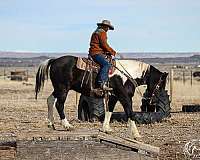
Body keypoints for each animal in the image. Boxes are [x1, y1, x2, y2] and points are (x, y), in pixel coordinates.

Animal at [35, 55, 168, 139]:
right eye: (160, 84)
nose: (153, 102)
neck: (127, 74)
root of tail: (54, 60)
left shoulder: (114, 96)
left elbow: (109, 110)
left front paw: (106, 128)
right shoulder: (124, 96)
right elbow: (130, 112)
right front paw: (136, 134)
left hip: (58, 89)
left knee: (50, 100)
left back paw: (51, 123)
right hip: (63, 89)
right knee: (59, 104)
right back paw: (67, 125)